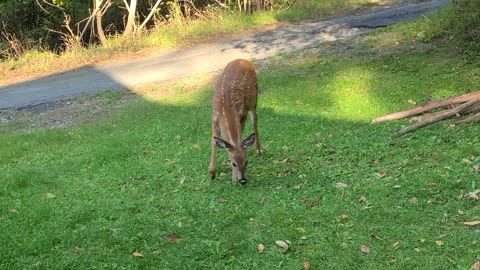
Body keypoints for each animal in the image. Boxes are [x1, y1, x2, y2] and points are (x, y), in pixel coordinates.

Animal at [207, 58, 260, 186]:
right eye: (233, 163)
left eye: (246, 162)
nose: (243, 180)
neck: (226, 111)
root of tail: (244, 59)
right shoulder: (214, 117)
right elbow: (214, 141)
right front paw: (212, 172)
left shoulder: (242, 114)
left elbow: (240, 135)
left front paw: (233, 178)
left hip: (253, 100)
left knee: (254, 122)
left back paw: (258, 150)